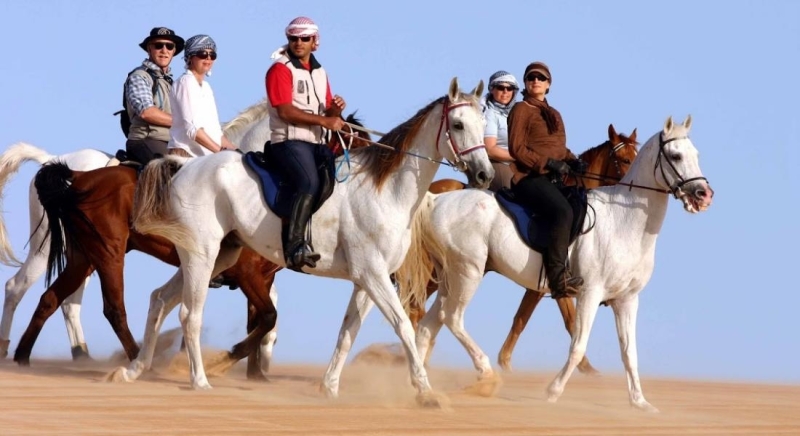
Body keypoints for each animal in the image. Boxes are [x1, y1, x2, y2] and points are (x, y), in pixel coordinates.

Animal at [14, 115, 372, 378]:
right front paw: (225, 361)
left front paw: (255, 373)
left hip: (84, 255)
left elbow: (260, 320)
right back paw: (138, 360)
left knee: (52, 299)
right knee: (99, 305)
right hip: (104, 252)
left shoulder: (260, 277)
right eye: (351, 139)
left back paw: (24, 355)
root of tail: (74, 173)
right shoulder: (247, 274)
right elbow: (267, 316)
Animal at [109, 77, 490, 406]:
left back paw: (133, 371)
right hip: (201, 254)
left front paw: (329, 387)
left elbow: (347, 333)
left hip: (221, 256)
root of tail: (184, 166)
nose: (484, 174)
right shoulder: (374, 275)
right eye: (458, 125)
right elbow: (403, 328)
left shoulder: (367, 281)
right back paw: (199, 380)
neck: (386, 191)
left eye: (483, 124)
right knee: (190, 313)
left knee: (161, 299)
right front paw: (426, 392)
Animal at [406, 124, 636, 372]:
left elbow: (521, 319)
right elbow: (570, 321)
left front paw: (505, 363)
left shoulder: (541, 285)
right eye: (624, 159)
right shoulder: (557, 279)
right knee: (415, 306)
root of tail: (431, 197)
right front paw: (588, 371)